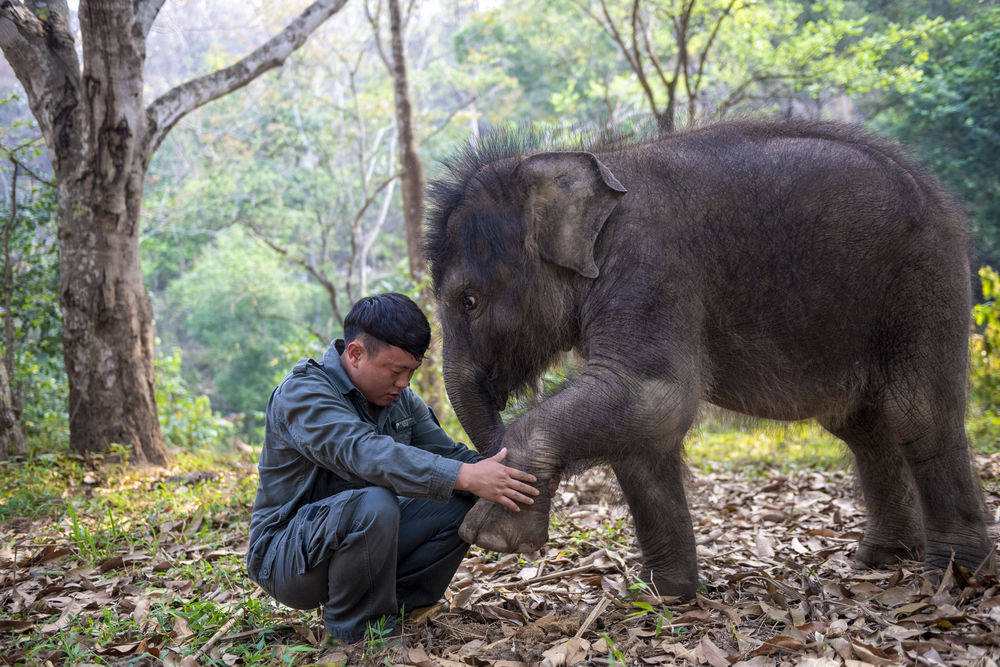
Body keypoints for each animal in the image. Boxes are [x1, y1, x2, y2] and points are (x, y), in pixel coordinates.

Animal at [424, 117, 992, 596]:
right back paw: (883, 559)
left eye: (468, 301)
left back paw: (955, 577)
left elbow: (656, 396)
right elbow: (642, 432)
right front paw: (664, 593)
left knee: (917, 413)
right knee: (862, 426)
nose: (488, 475)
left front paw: (494, 536)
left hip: (923, 279)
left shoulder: (651, 265)